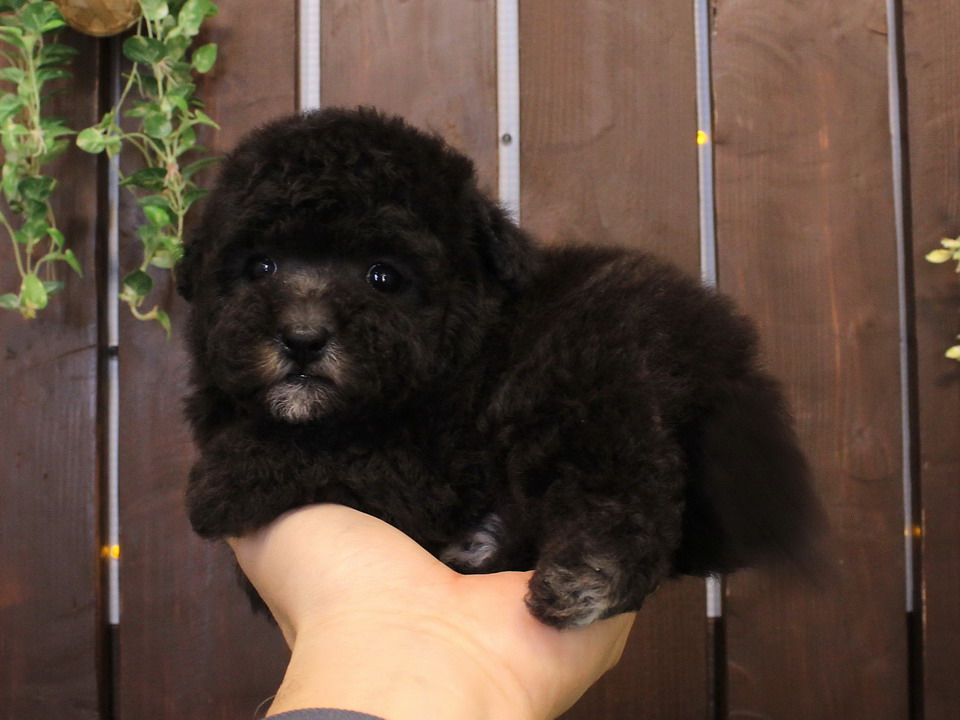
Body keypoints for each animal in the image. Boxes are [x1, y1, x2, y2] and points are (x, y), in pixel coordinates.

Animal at [177, 107, 824, 629]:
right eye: (261, 267)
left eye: (382, 276)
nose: (303, 338)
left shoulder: (434, 470)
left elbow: (342, 450)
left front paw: (226, 477)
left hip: (592, 364)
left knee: (625, 483)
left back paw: (588, 574)